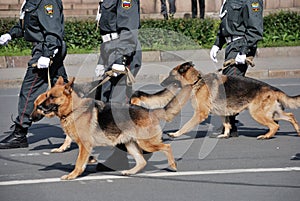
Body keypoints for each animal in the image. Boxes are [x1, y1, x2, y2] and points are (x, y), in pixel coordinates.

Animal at [29, 76, 190, 179]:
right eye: (46, 96)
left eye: (52, 97)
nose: (31, 117)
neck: (73, 109)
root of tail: (150, 111)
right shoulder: (85, 147)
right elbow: (82, 160)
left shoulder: (84, 145)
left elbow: (78, 163)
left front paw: (72, 175)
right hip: (130, 144)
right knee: (142, 161)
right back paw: (130, 172)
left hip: (146, 143)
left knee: (167, 147)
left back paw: (173, 165)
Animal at [136, 61, 300, 140]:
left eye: (171, 75)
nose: (161, 83)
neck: (196, 81)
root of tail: (272, 88)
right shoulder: (223, 112)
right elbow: (227, 124)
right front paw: (225, 135)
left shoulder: (200, 114)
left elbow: (186, 126)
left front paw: (175, 134)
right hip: (272, 112)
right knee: (290, 116)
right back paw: (298, 132)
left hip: (258, 114)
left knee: (275, 126)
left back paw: (266, 136)